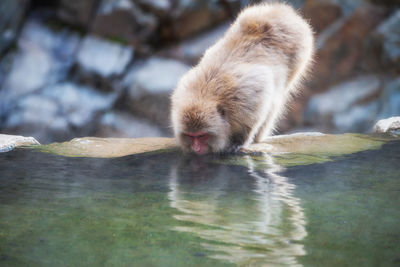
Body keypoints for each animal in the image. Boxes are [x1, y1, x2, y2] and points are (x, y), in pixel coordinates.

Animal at [170, 2, 314, 155]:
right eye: (191, 136)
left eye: (202, 136)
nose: (196, 148)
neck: (206, 92)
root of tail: (280, 10)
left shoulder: (247, 96)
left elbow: (255, 115)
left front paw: (239, 141)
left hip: (299, 53)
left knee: (275, 99)